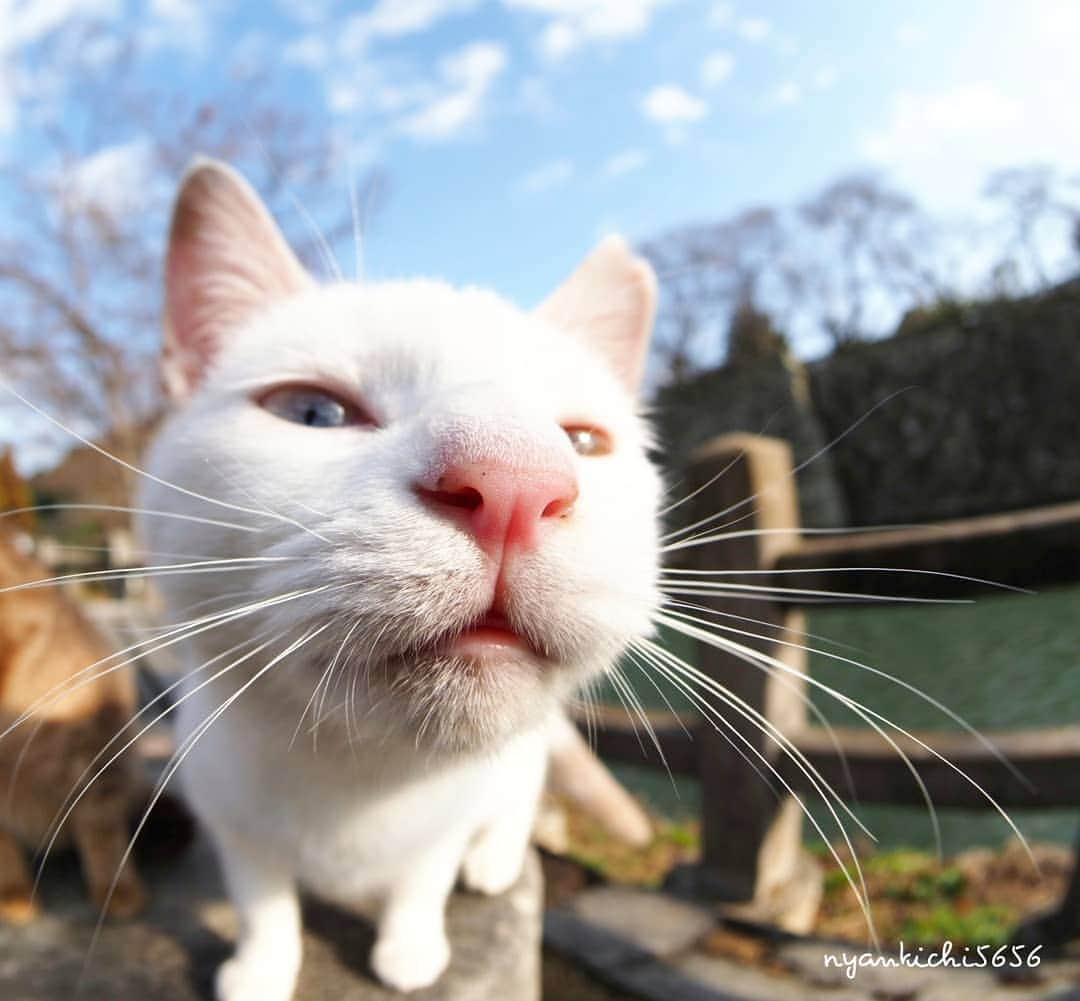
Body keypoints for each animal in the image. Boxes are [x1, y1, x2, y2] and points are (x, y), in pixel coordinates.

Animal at [139, 160, 660, 997]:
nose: (516, 478)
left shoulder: (444, 823)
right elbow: (263, 901)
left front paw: (409, 948)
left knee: (517, 802)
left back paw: (493, 859)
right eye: (313, 411)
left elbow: (423, 879)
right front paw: (262, 967)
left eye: (582, 441)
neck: (360, 777)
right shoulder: (231, 823)